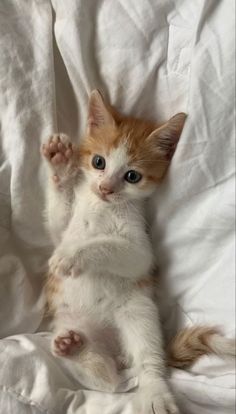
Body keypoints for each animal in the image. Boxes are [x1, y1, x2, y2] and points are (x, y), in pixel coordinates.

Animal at [42, 91, 234, 414]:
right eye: (98, 162)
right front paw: (60, 164)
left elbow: (111, 247)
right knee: (104, 378)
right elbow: (59, 222)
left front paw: (73, 255)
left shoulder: (140, 248)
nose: (105, 188)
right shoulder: (64, 226)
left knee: (144, 364)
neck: (102, 206)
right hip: (69, 321)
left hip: (138, 312)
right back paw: (75, 349)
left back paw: (156, 393)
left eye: (132, 176)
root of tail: (115, 350)